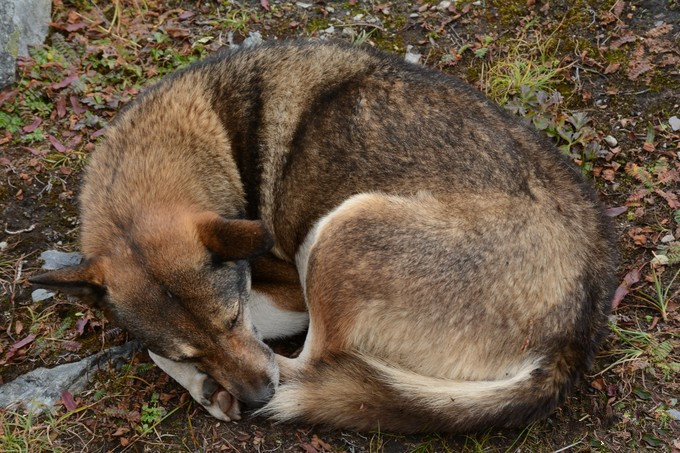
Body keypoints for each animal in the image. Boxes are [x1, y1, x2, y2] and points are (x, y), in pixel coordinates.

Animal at [30, 41, 616, 430]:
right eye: (199, 349)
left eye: (233, 319)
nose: (256, 397)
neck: (212, 135)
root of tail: (575, 334)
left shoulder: (286, 294)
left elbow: (154, 350)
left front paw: (200, 382)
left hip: (341, 231)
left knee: (310, 366)